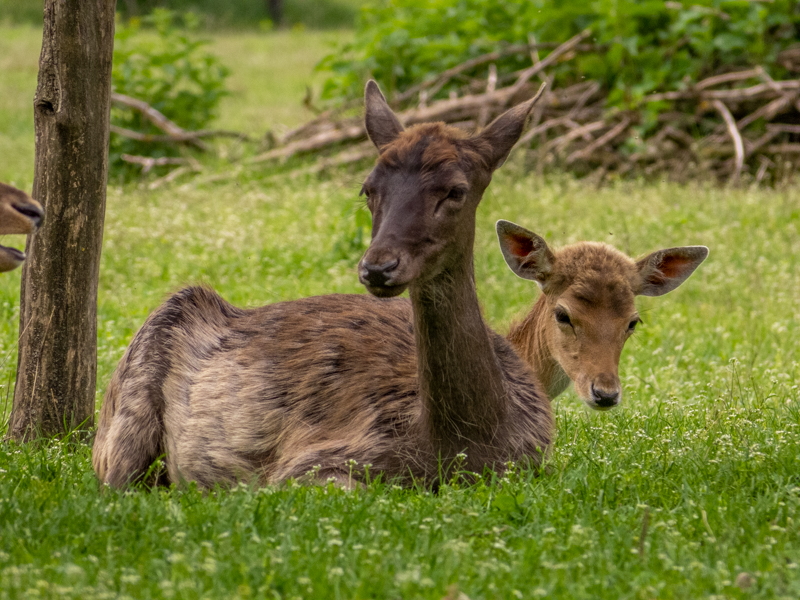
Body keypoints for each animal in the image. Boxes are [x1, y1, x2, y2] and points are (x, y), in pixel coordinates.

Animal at [93, 81, 556, 489]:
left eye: (456, 190)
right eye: (367, 188)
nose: (378, 267)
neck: (461, 445)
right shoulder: (312, 459)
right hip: (125, 413)